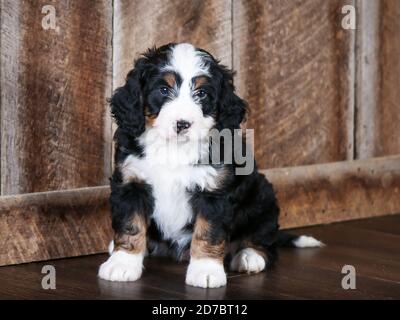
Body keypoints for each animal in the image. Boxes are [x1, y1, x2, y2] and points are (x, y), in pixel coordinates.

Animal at [98, 42, 324, 288]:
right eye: (164, 90)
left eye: (202, 93)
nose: (183, 124)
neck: (174, 149)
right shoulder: (131, 183)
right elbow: (130, 225)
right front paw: (123, 263)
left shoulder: (214, 191)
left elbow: (208, 232)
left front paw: (206, 271)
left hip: (262, 199)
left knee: (266, 244)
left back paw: (249, 256)